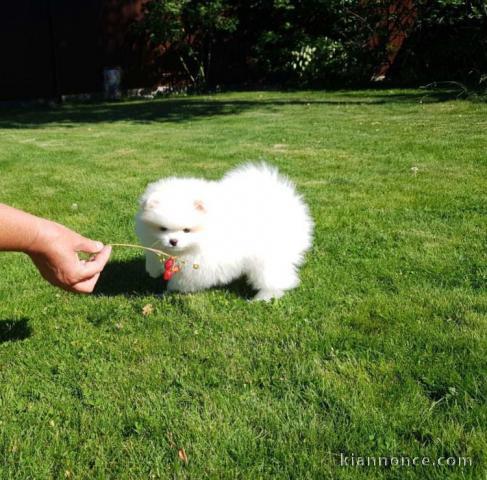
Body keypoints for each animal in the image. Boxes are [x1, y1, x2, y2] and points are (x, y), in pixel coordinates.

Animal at [135, 164, 314, 300]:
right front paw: (155, 271)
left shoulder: (201, 261)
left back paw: (264, 297)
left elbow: (185, 279)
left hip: (270, 255)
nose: (173, 241)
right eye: (162, 228)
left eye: (187, 230)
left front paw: (171, 289)